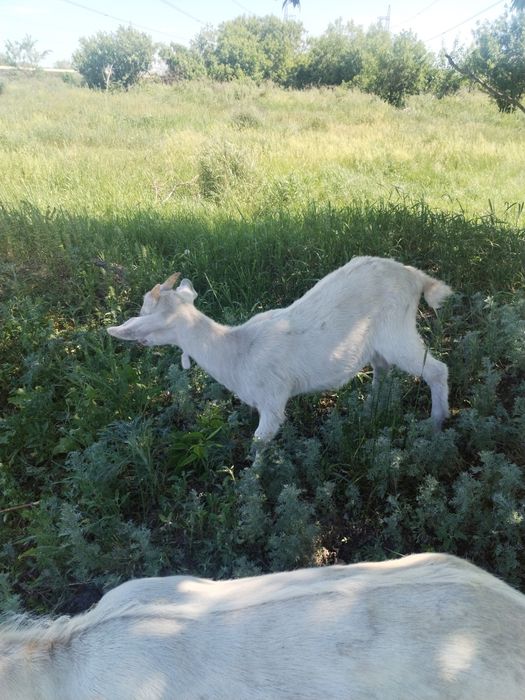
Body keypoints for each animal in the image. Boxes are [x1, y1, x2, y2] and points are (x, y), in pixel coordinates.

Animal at [107, 256, 452, 441]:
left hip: (398, 331)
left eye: (147, 313)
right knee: (383, 368)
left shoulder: (272, 401)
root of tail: (414, 277)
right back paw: (371, 410)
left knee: (437, 370)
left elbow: (259, 444)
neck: (236, 350)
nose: (137, 341)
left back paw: (435, 424)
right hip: (378, 341)